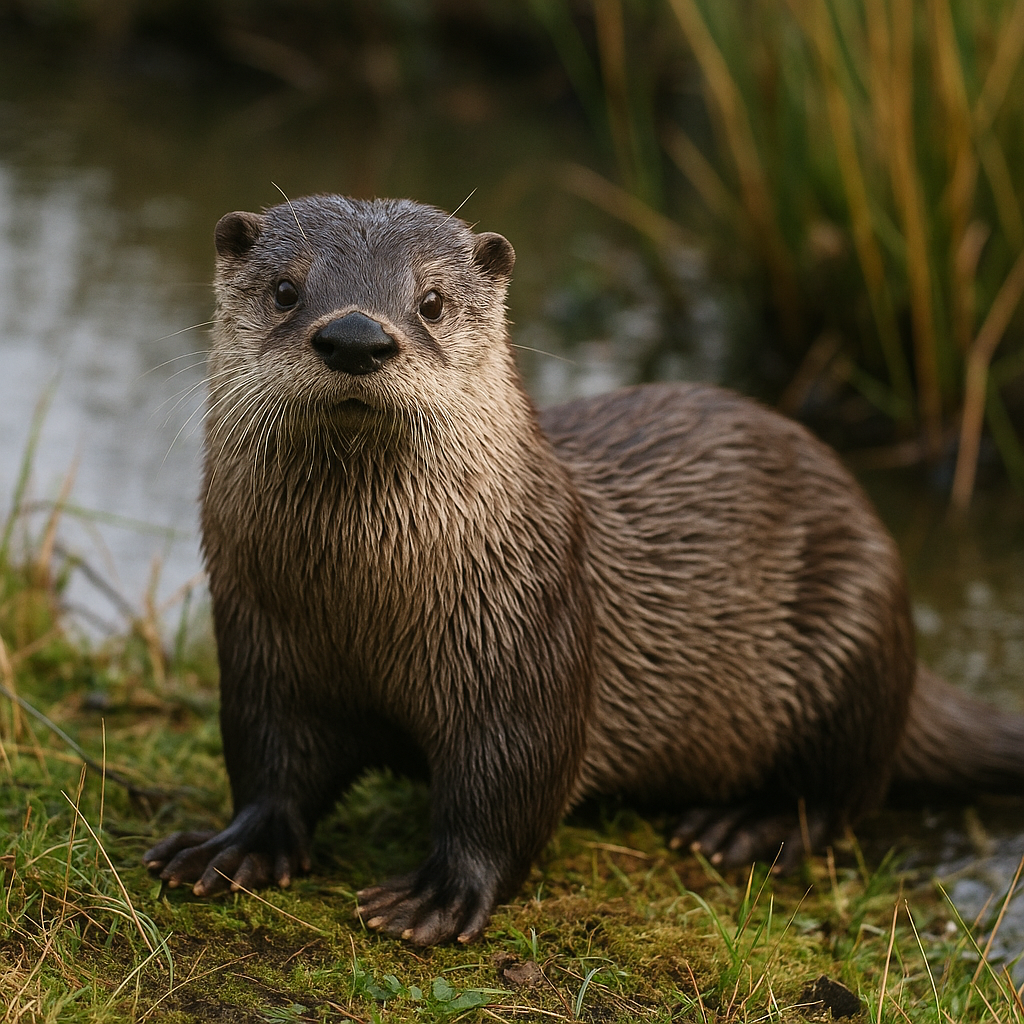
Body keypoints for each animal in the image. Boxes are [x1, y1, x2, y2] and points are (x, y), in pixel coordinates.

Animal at [144, 195, 1024, 946]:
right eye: (286, 291)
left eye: (431, 302)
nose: (356, 336)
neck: (359, 601)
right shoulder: (260, 642)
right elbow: (268, 761)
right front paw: (230, 848)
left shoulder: (528, 644)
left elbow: (509, 791)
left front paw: (440, 895)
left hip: (850, 632)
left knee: (844, 792)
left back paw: (745, 826)